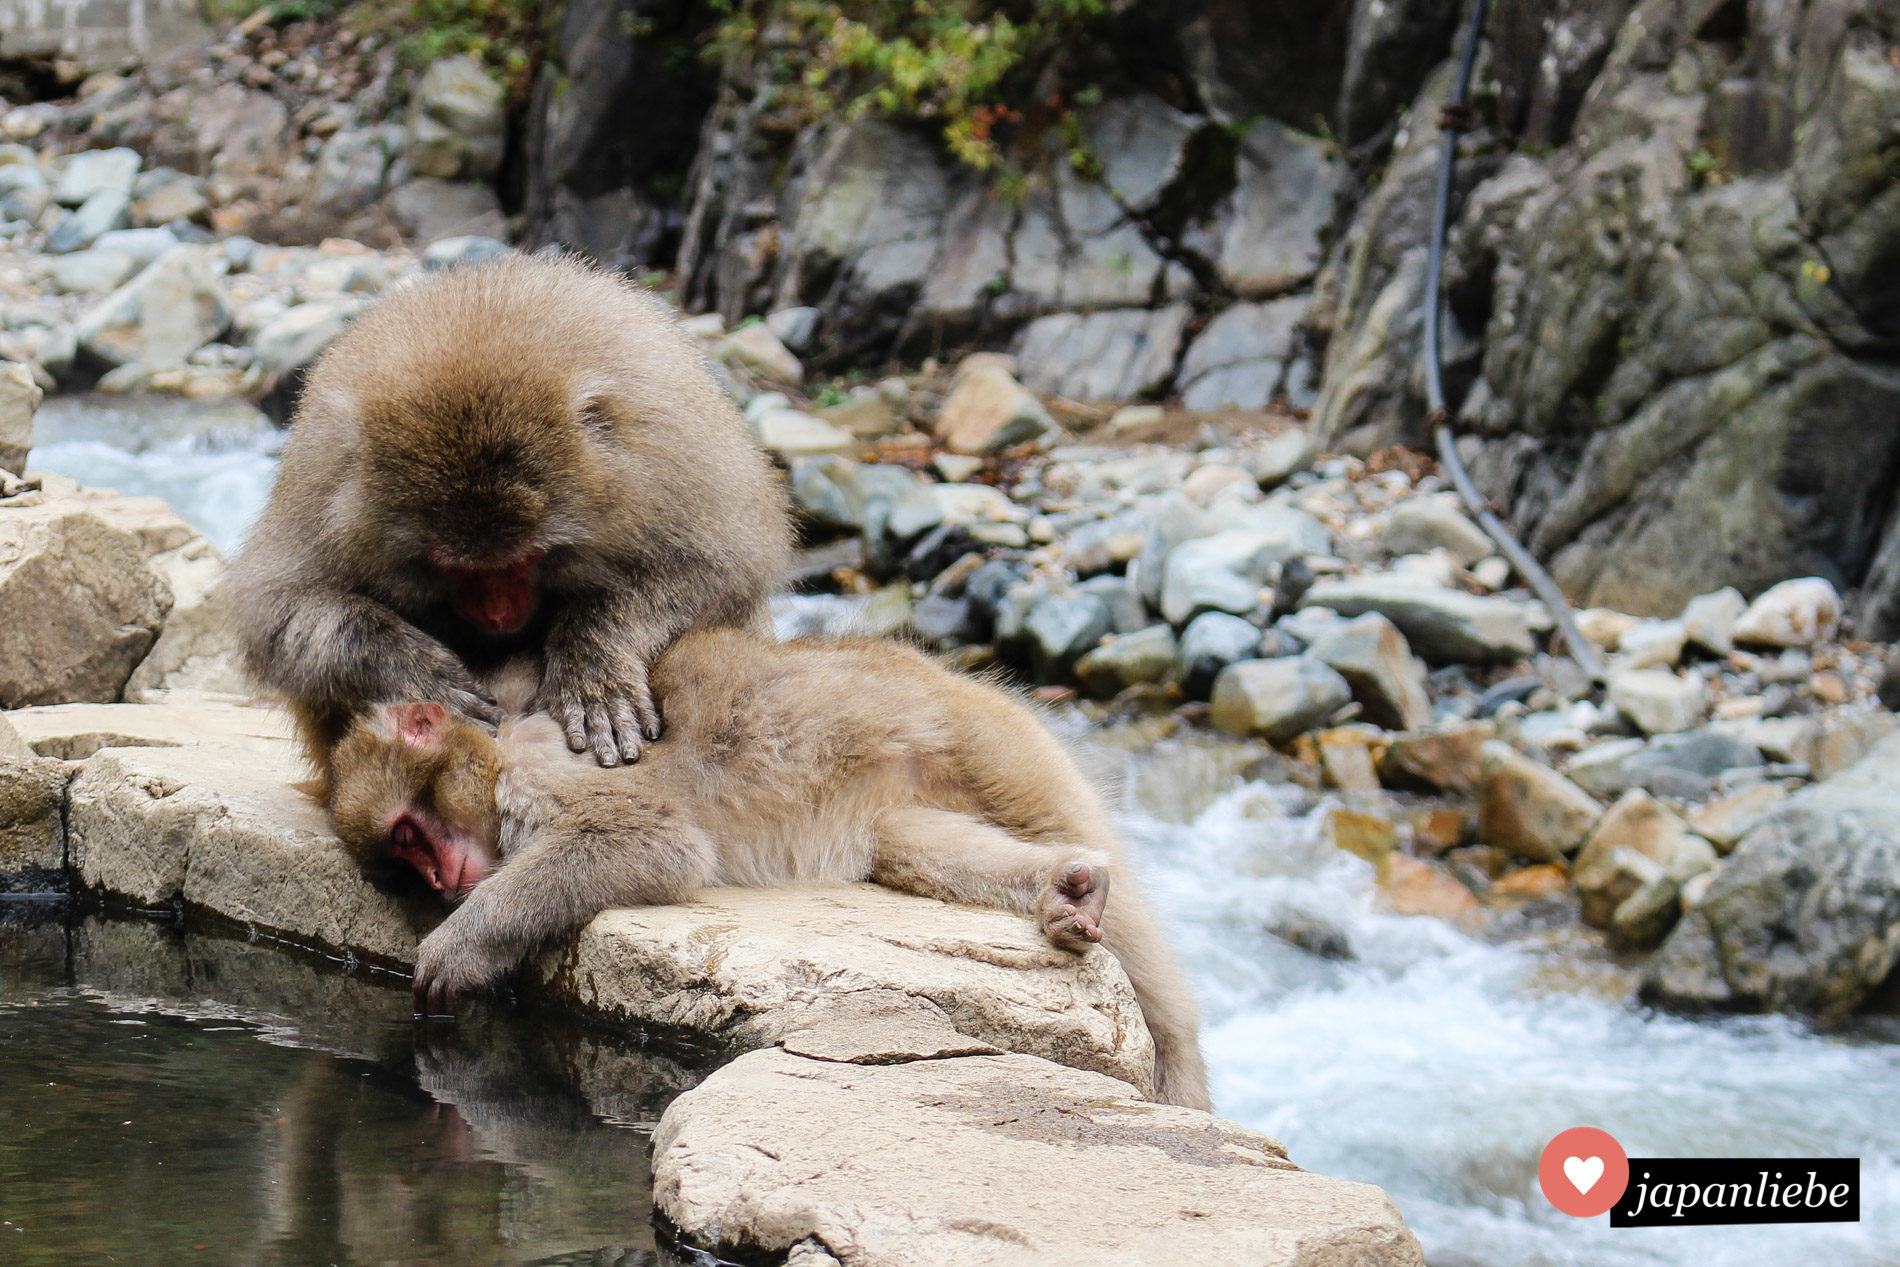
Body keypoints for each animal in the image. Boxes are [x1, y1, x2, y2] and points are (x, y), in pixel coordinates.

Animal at [226, 254, 790, 778]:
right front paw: (412, 668)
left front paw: (593, 658)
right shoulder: (323, 480)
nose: (497, 612)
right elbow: (278, 610)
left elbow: (716, 569)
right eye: (448, 566)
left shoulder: (666, 458)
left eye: (529, 558)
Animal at [323, 630, 1216, 1109]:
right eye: (400, 857)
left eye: (410, 833)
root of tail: (945, 674)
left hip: (994, 744)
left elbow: (649, 840)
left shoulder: (549, 773)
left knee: (1119, 914)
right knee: (908, 845)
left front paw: (459, 945)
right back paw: (1063, 884)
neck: (499, 747)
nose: (441, 882)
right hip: (923, 788)